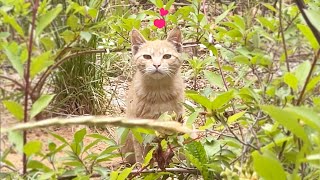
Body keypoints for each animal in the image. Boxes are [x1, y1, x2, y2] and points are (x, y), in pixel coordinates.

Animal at [120, 27, 185, 165]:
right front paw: (141, 167)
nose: (156, 65)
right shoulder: (138, 127)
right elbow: (140, 151)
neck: (158, 91)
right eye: (147, 57)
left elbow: (173, 146)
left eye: (167, 56)